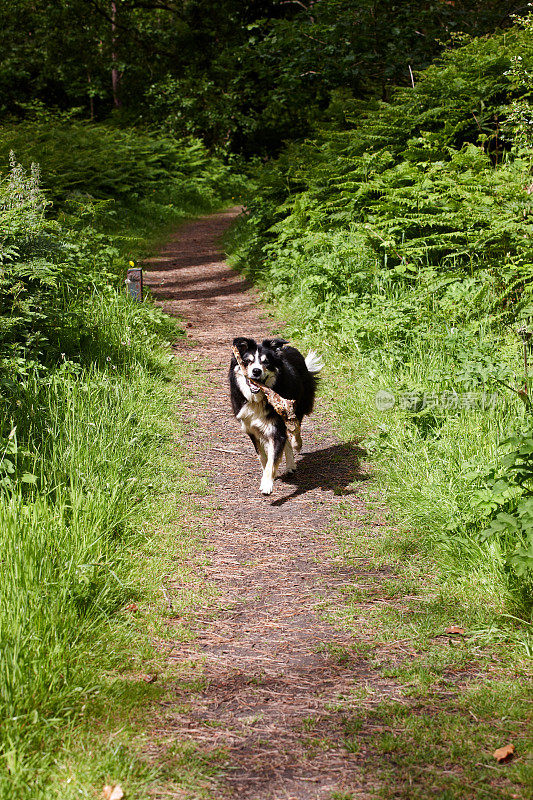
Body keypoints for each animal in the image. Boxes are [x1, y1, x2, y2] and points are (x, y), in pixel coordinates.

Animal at [228, 336, 322, 494]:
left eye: (266, 362)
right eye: (248, 361)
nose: (256, 371)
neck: (258, 399)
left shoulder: (276, 427)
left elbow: (273, 459)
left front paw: (267, 484)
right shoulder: (251, 428)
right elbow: (262, 455)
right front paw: (267, 473)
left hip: (296, 408)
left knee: (295, 429)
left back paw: (296, 446)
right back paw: (290, 464)